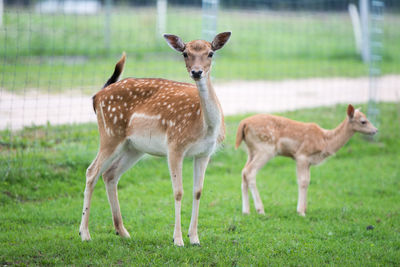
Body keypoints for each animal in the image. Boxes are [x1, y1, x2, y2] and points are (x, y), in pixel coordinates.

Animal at [78, 31, 231, 247]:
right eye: (185, 53)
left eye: (210, 53)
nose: (196, 72)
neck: (204, 126)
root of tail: (97, 96)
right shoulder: (175, 145)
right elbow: (178, 191)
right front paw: (178, 239)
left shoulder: (204, 153)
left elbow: (198, 191)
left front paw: (194, 238)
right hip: (110, 133)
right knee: (92, 172)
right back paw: (84, 233)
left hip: (133, 147)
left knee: (110, 174)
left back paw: (122, 231)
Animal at [234, 104, 378, 218]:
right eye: (363, 121)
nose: (375, 130)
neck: (325, 141)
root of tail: (243, 124)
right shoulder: (301, 156)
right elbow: (302, 182)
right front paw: (300, 212)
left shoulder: (308, 162)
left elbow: (308, 181)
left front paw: (305, 209)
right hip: (265, 149)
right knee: (250, 172)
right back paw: (260, 210)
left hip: (251, 151)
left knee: (243, 172)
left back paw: (246, 211)